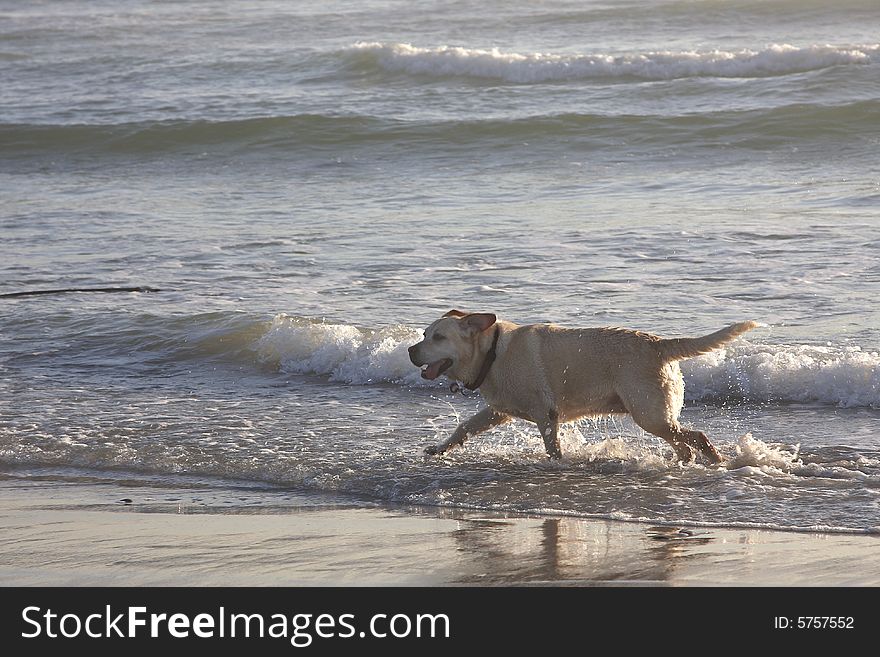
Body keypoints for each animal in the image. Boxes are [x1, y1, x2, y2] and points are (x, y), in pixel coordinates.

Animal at [406, 312, 756, 462]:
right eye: (424, 334)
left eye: (438, 337)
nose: (410, 350)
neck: (492, 354)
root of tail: (659, 343)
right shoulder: (497, 411)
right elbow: (464, 427)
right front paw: (440, 448)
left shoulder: (546, 415)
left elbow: (553, 447)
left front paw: (558, 464)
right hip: (654, 413)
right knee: (683, 443)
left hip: (649, 414)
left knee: (696, 436)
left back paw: (714, 459)